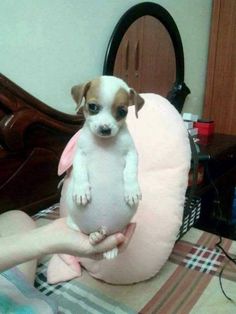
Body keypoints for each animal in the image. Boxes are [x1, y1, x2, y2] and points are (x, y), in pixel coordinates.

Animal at [65, 75, 145, 258]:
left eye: (122, 111)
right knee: (86, 233)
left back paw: (108, 246)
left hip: (120, 230)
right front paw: (81, 190)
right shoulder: (79, 154)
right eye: (93, 107)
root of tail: (104, 228)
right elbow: (80, 172)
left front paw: (131, 190)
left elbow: (130, 172)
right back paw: (94, 237)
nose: (105, 129)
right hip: (73, 224)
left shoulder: (131, 154)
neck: (104, 143)